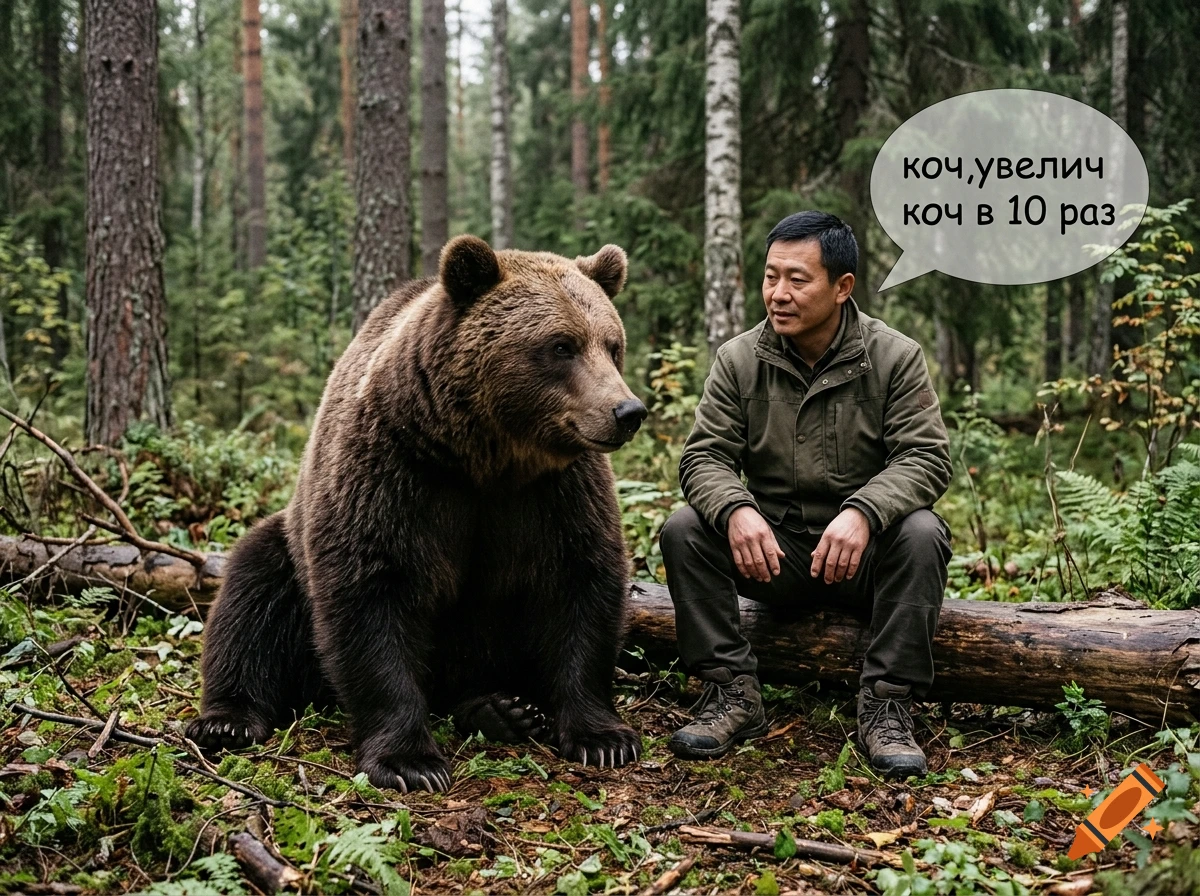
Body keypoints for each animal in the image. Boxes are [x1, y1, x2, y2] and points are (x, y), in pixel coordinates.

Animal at [186, 236, 648, 794]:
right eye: (562, 346)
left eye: (612, 344)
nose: (627, 411)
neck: (487, 459)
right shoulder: (396, 472)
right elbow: (372, 595)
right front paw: (410, 761)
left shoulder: (557, 493)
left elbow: (581, 582)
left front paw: (603, 737)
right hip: (288, 553)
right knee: (251, 596)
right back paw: (227, 719)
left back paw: (502, 710)